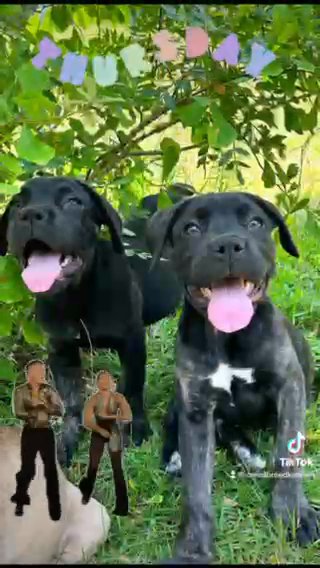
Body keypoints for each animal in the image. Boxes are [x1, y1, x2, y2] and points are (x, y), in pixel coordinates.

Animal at [0, 176, 184, 466]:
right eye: (18, 204)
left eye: (73, 201)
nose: (29, 214)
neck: (78, 296)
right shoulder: (61, 350)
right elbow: (71, 402)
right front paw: (67, 442)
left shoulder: (132, 342)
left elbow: (133, 388)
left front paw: (136, 430)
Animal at [147, 192, 318, 564]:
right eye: (191, 229)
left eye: (255, 223)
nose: (227, 245)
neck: (229, 337)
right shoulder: (196, 405)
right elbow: (196, 488)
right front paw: (193, 549)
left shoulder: (290, 387)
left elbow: (288, 454)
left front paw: (293, 516)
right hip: (181, 397)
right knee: (177, 422)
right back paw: (181, 456)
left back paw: (248, 452)